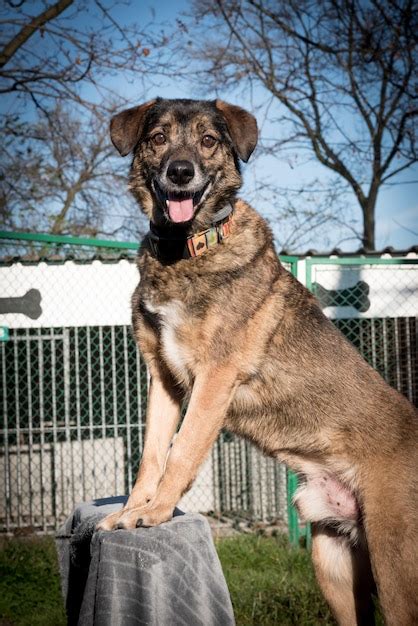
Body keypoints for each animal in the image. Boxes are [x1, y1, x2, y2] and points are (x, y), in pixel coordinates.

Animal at [99, 97, 418, 624]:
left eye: (209, 141)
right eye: (158, 138)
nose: (180, 172)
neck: (185, 250)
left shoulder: (214, 378)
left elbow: (181, 451)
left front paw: (156, 511)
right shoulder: (163, 379)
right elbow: (151, 454)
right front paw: (131, 510)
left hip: (397, 575)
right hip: (333, 566)